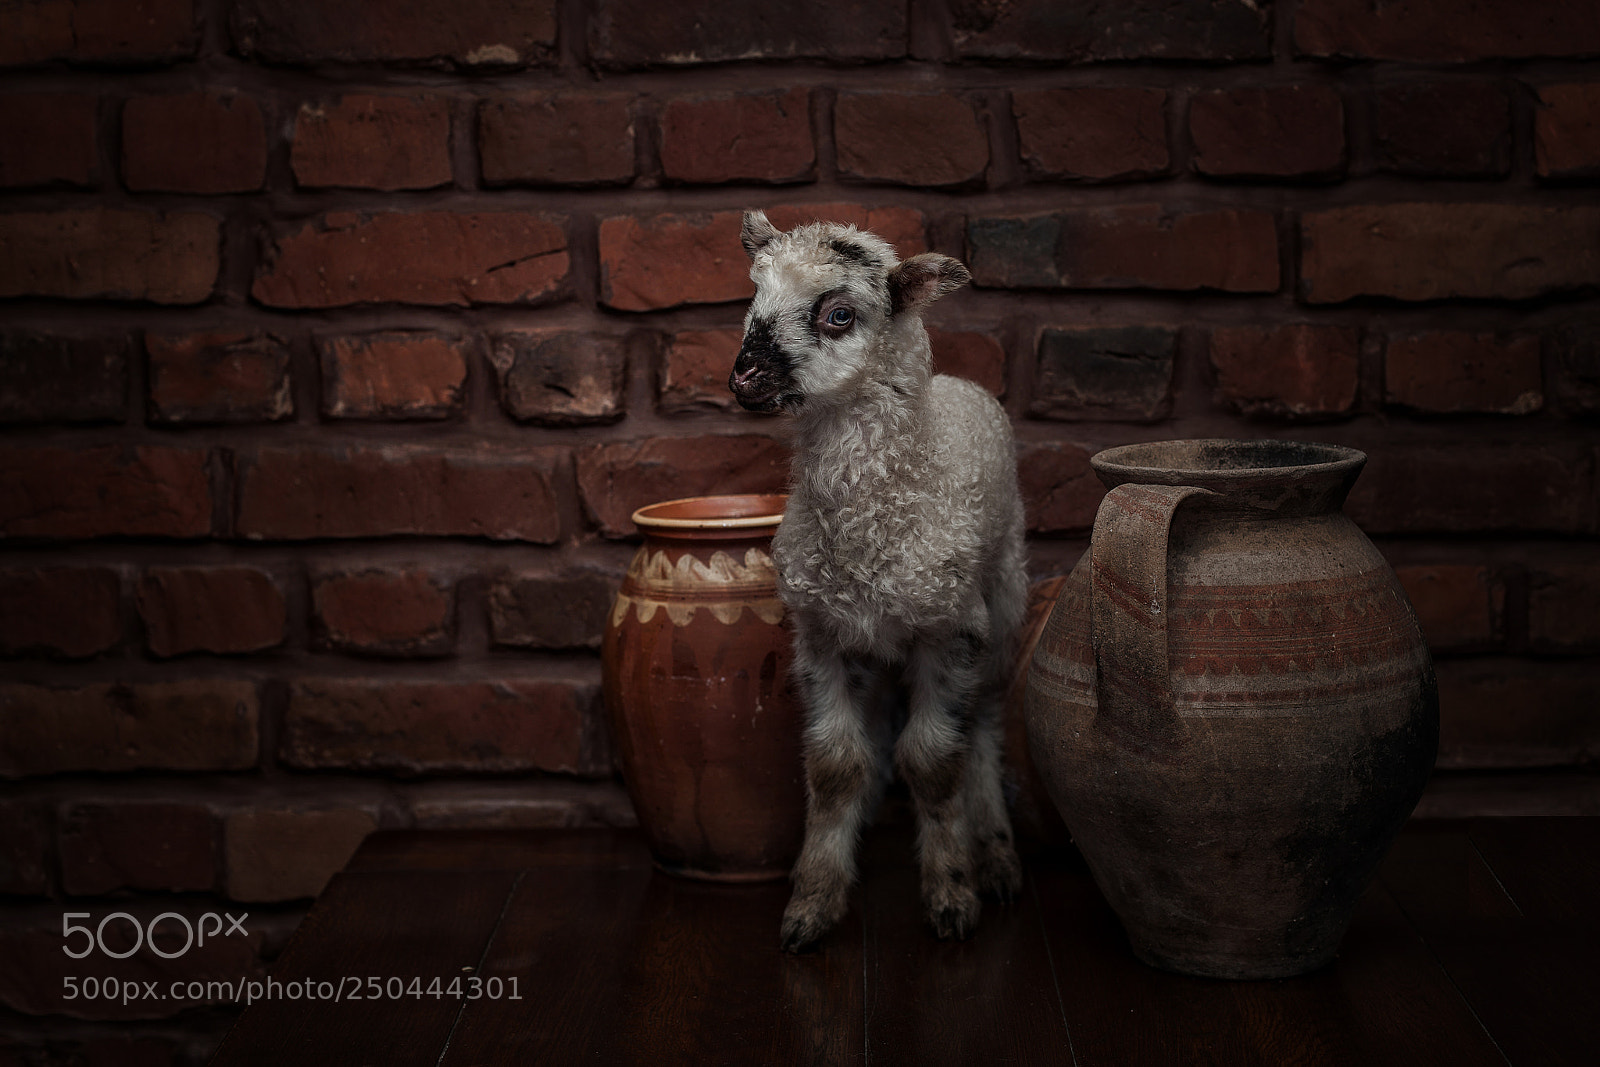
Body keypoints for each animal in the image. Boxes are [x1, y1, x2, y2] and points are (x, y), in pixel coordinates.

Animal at [729, 210, 1028, 951]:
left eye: (838, 314)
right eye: (754, 293)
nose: (744, 376)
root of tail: (958, 384)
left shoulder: (951, 632)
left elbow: (933, 764)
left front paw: (952, 894)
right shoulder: (822, 637)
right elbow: (835, 768)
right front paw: (813, 900)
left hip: (1005, 602)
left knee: (983, 726)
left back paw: (996, 855)